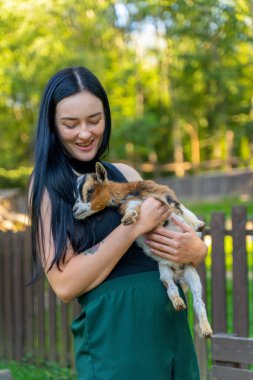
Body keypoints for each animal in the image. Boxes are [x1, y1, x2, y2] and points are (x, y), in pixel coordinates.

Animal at [73, 162, 213, 336]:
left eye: (90, 190)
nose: (74, 210)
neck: (127, 193)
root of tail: (179, 273)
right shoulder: (131, 204)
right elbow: (132, 210)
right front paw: (128, 219)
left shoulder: (163, 193)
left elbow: (181, 209)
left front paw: (198, 225)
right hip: (165, 271)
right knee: (171, 288)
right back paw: (179, 304)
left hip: (191, 273)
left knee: (198, 300)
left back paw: (206, 330)